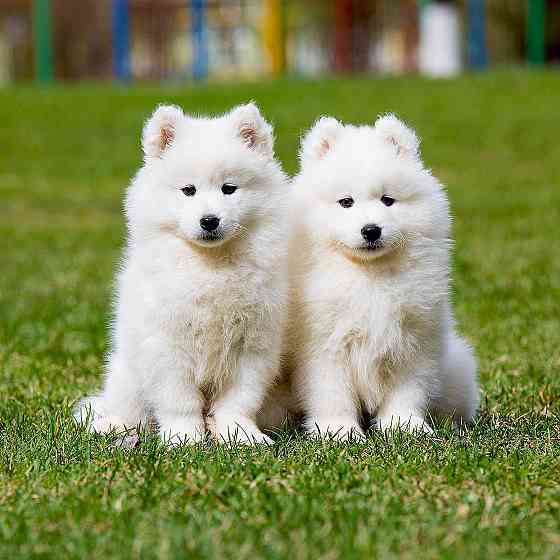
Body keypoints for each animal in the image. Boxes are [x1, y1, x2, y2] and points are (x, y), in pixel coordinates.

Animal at [75, 101, 288, 446]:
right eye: (188, 190)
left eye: (229, 189)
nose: (209, 220)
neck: (211, 265)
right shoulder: (167, 346)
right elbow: (180, 401)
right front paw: (185, 439)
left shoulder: (252, 347)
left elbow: (238, 401)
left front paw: (241, 435)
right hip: (127, 373)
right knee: (129, 409)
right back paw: (110, 425)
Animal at [286, 114, 480, 438]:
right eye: (346, 202)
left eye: (387, 200)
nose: (371, 230)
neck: (369, 275)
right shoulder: (324, 345)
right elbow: (332, 394)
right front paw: (340, 432)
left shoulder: (413, 339)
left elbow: (407, 391)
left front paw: (405, 427)